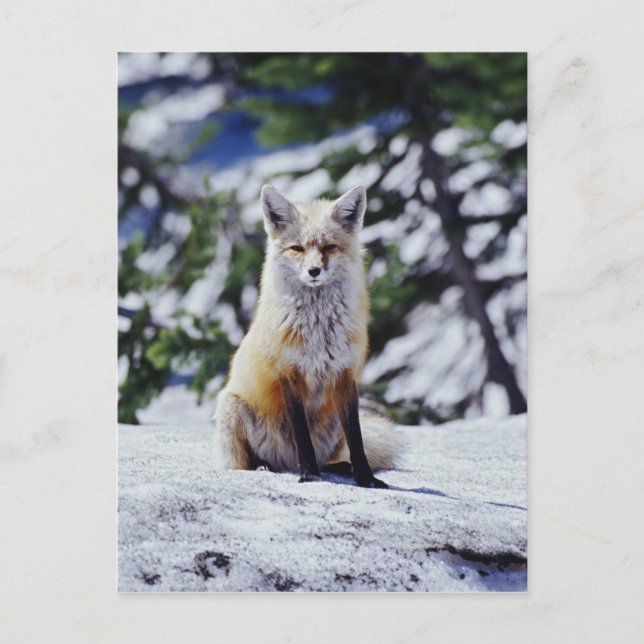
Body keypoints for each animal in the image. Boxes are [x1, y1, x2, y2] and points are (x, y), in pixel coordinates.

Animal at [213, 184, 397, 488]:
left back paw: (340, 467)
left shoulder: (346, 375)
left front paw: (366, 478)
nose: (313, 271)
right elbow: (302, 437)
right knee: (248, 461)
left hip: (332, 423)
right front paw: (309, 476)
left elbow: (357, 440)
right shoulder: (289, 373)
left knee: (332, 457)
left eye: (329, 247)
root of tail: (286, 463)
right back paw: (265, 466)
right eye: (297, 248)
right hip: (232, 407)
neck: (319, 330)